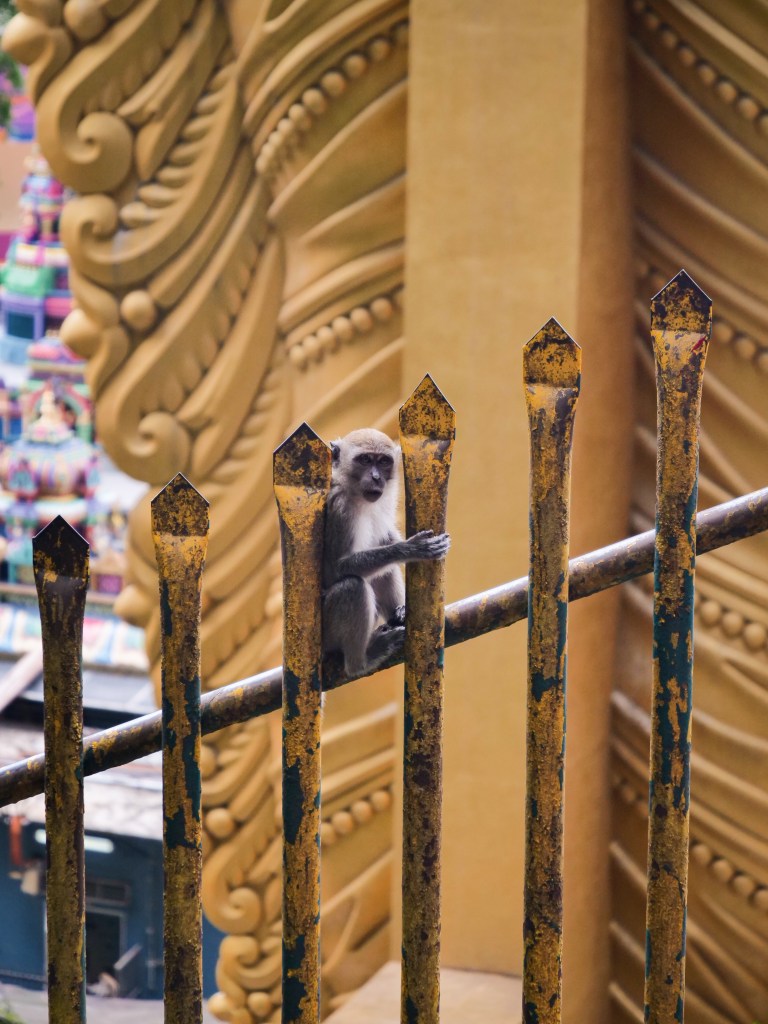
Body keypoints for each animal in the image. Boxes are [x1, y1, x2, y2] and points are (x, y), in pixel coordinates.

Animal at [323, 428, 450, 678]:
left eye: (383, 462)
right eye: (364, 460)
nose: (376, 477)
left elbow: (384, 538)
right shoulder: (339, 509)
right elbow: (335, 569)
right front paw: (411, 549)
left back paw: (397, 614)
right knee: (352, 586)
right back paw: (361, 662)